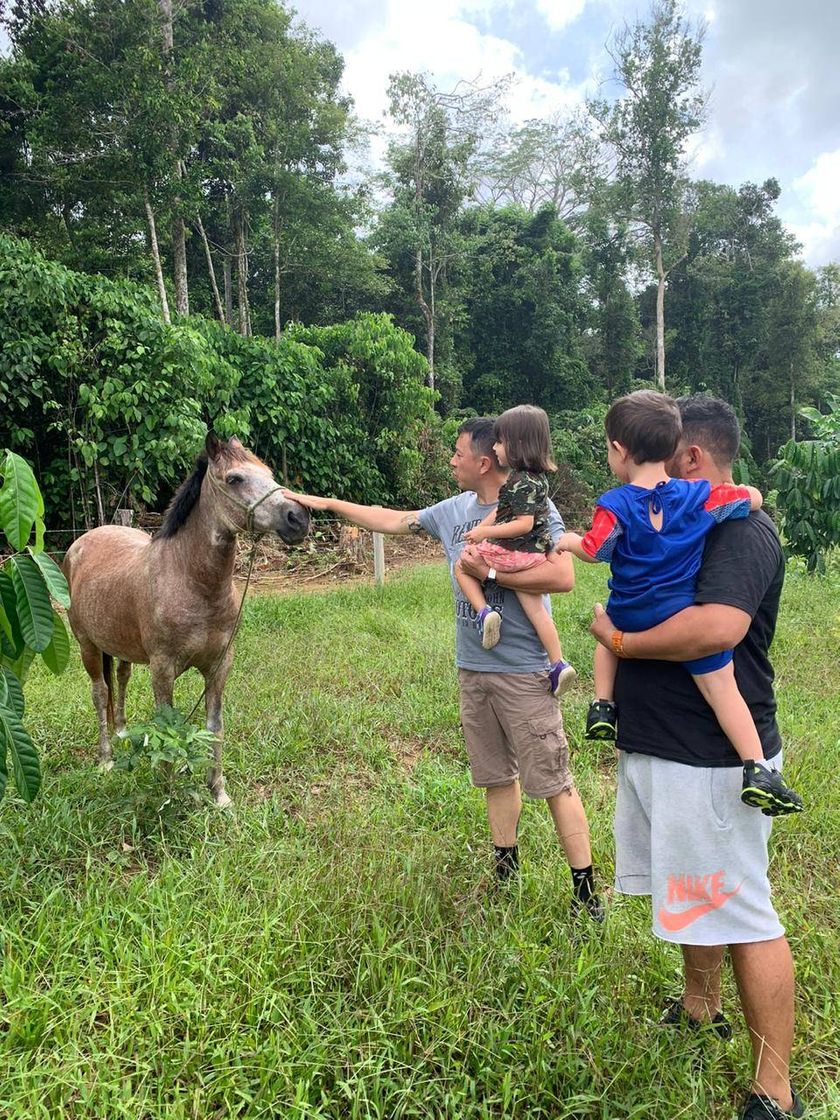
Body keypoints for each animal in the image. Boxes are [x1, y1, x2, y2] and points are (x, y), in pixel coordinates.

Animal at [64, 427, 311, 806]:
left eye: (269, 474)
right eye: (234, 478)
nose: (298, 517)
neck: (190, 581)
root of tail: (80, 544)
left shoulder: (219, 667)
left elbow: (214, 727)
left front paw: (218, 794)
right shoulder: (163, 670)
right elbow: (166, 729)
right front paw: (167, 796)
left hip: (120, 647)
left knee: (120, 680)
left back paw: (123, 733)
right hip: (87, 646)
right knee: (99, 692)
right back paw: (106, 759)